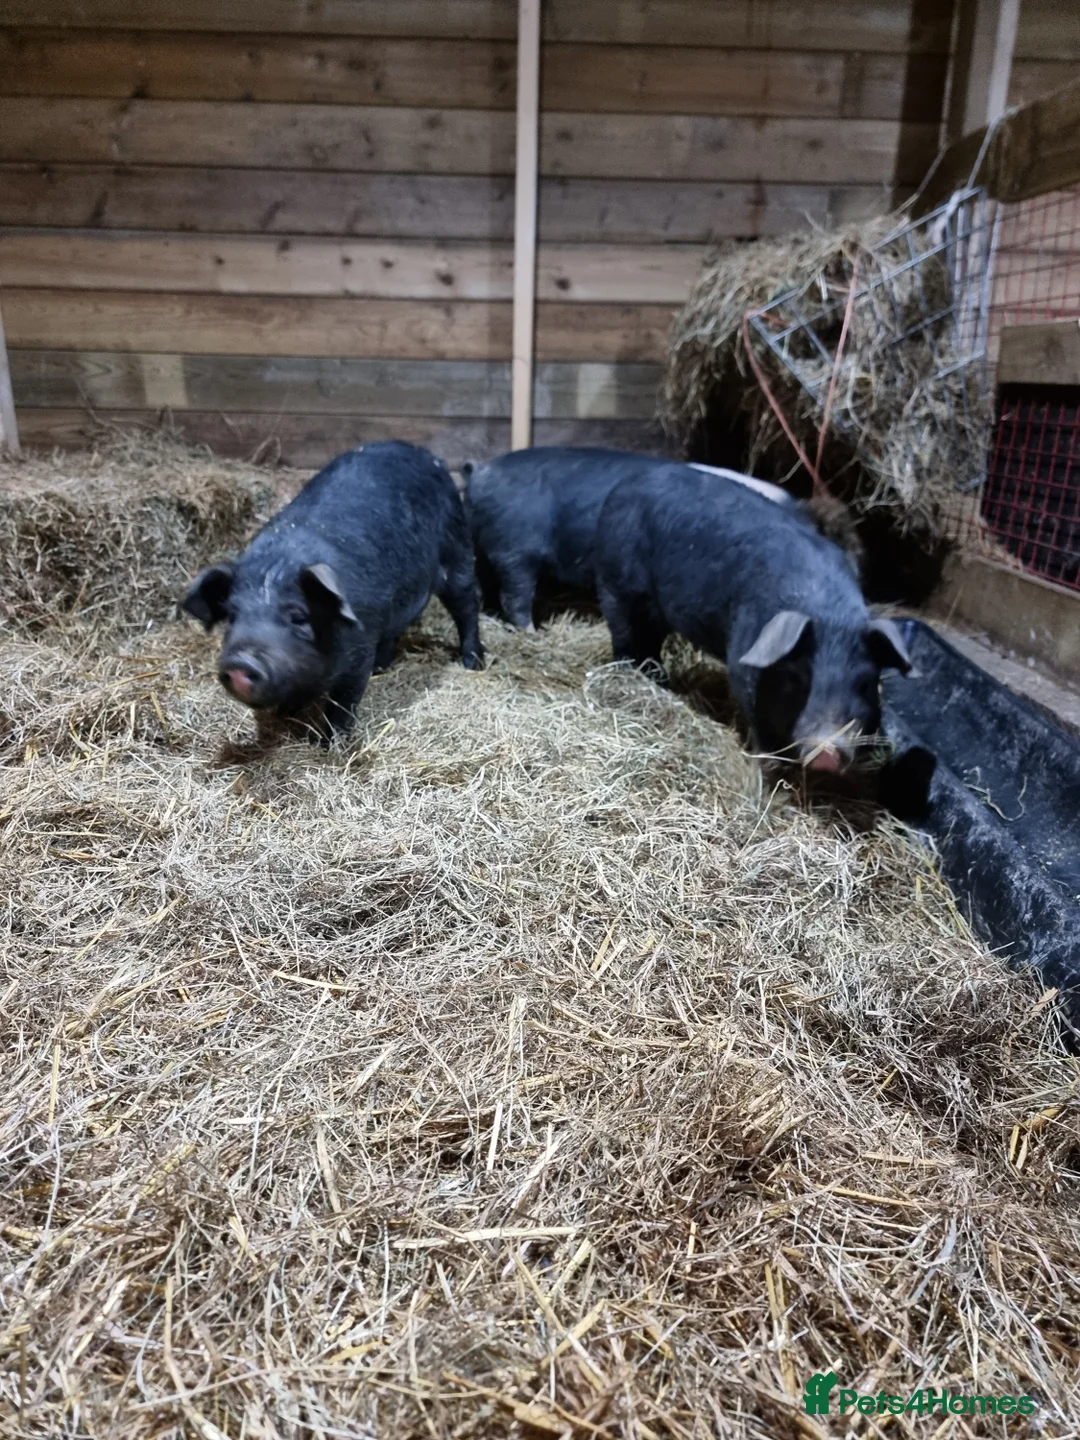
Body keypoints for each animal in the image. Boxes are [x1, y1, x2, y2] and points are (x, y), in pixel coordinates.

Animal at [181, 441, 483, 740]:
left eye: (298, 616)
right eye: (232, 615)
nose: (240, 664)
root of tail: (426, 455)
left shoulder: (360, 648)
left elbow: (344, 700)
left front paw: (332, 742)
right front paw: (284, 715)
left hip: (457, 552)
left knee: (467, 606)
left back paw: (474, 662)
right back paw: (382, 666)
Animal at [462, 446, 798, 629]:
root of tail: (480, 473)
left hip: (485, 545)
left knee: (487, 585)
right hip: (515, 549)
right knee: (515, 596)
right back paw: (533, 631)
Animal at [592, 463, 910, 772]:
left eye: (865, 683)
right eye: (798, 678)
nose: (826, 751)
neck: (828, 610)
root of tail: (624, 486)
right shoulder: (742, 660)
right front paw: (770, 766)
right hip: (615, 587)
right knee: (626, 637)